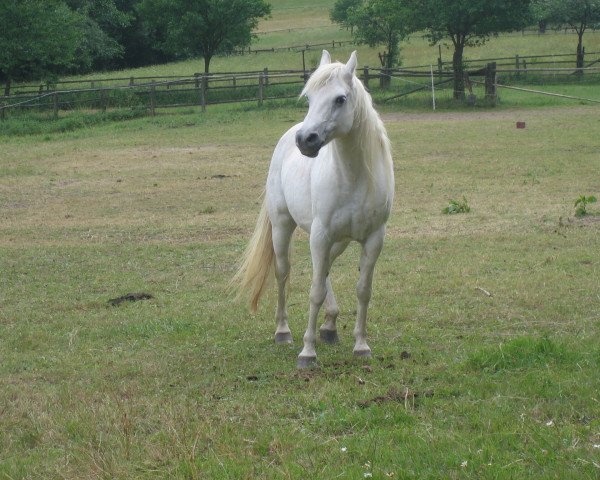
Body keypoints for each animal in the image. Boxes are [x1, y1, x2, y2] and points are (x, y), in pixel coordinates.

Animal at [237, 50, 396, 368]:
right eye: (309, 97)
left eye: (340, 99)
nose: (305, 140)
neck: (353, 177)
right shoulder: (320, 236)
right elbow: (314, 292)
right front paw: (307, 352)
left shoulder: (373, 238)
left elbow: (363, 290)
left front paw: (361, 345)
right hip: (284, 227)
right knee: (284, 272)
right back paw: (283, 331)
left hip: (338, 241)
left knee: (324, 271)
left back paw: (330, 325)